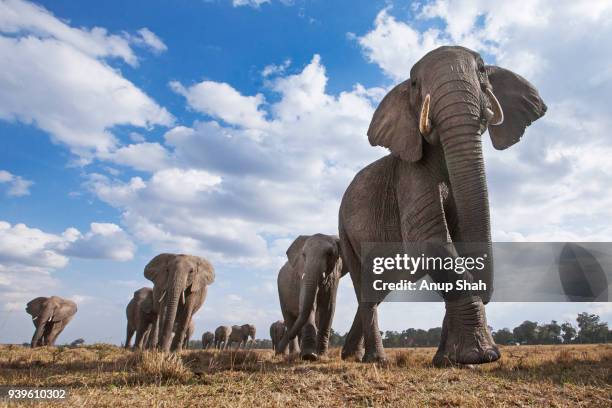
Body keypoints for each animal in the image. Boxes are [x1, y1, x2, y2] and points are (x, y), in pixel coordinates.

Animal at [340, 46, 544, 364]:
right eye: (414, 83)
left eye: (482, 69)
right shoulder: (409, 174)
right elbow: (431, 239)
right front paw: (478, 356)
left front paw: (448, 360)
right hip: (345, 230)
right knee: (368, 289)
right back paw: (376, 361)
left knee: (377, 290)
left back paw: (351, 356)